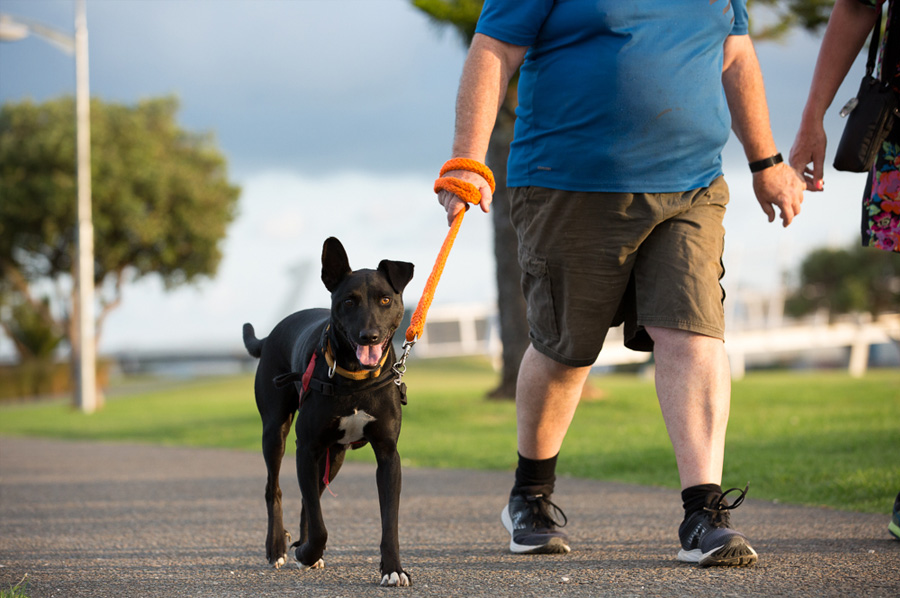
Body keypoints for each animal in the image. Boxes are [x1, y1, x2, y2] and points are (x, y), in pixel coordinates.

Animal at [244, 237, 416, 588]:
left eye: (385, 299)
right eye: (349, 301)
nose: (369, 336)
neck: (356, 379)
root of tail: (270, 334)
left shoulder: (388, 455)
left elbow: (388, 522)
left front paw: (393, 568)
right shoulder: (306, 448)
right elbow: (319, 522)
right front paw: (305, 552)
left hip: (335, 454)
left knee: (309, 499)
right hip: (276, 433)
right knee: (275, 489)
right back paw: (278, 547)